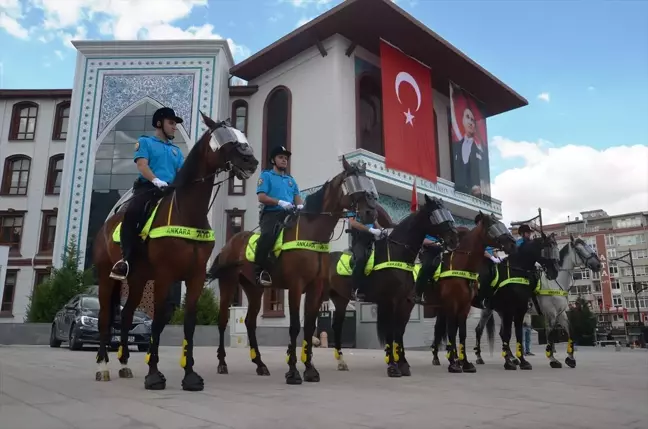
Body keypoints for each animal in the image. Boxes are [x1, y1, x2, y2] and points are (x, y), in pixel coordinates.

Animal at [92, 112, 260, 390]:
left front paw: (190, 374)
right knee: (105, 317)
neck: (187, 213)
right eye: (225, 138)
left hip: (137, 279)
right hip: (107, 276)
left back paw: (125, 364)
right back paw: (103, 367)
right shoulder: (165, 275)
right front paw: (153, 374)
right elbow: (159, 319)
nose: (252, 161)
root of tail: (105, 225)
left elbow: (189, 322)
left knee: (126, 315)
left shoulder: (196, 276)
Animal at [205, 155, 378, 382]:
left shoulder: (315, 288)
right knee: (223, 321)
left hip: (255, 288)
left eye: (369, 183)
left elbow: (309, 327)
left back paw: (260, 364)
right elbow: (295, 326)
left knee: (250, 322)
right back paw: (222, 363)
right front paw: (293, 371)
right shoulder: (296, 286)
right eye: (354, 184)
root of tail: (229, 244)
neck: (311, 233)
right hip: (228, 284)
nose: (371, 212)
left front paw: (310, 369)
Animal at [322, 196, 456, 376]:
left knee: (337, 326)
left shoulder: (404, 302)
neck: (397, 253)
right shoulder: (389, 301)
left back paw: (341, 362)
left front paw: (403, 363)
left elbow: (399, 331)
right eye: (437, 215)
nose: (454, 239)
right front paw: (393, 366)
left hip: (340, 299)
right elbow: (390, 332)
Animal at [474, 232, 560, 370]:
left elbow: (518, 334)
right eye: (547, 250)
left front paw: (522, 361)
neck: (517, 272)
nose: (555, 272)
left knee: (481, 330)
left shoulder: (520, 310)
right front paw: (508, 362)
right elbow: (508, 334)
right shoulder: (509, 310)